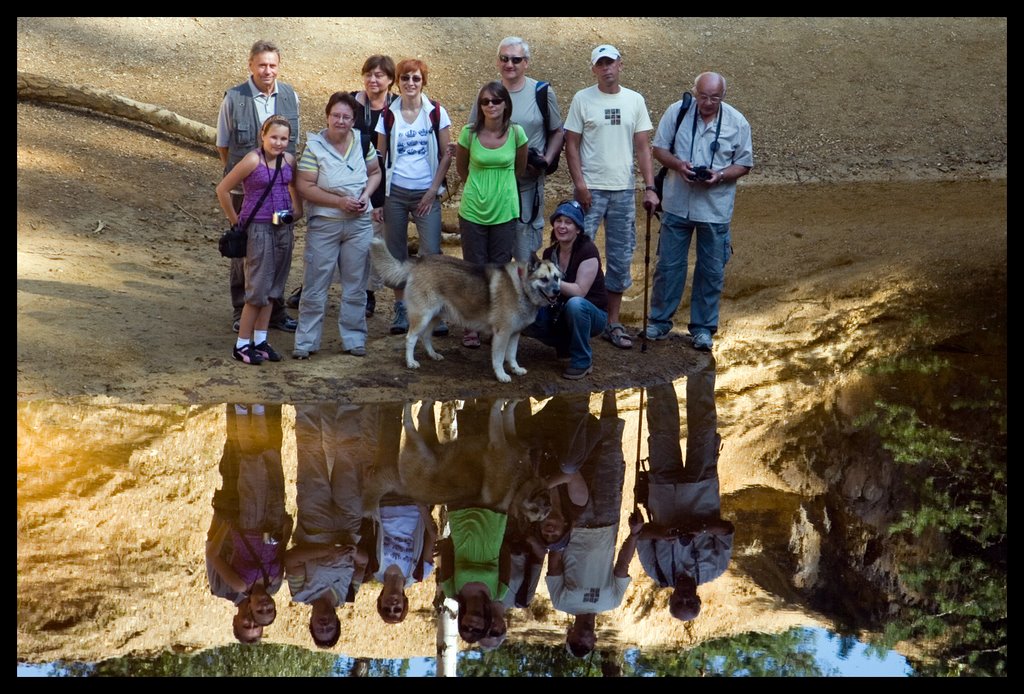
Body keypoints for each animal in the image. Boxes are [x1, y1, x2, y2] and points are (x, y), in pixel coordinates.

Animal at [368, 237, 561, 380]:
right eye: (544, 279)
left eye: (557, 277)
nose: (558, 292)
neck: (521, 286)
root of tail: (419, 262)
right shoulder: (502, 334)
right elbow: (499, 358)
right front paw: (501, 375)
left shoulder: (514, 334)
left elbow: (512, 355)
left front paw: (515, 368)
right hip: (422, 316)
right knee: (410, 339)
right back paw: (410, 362)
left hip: (436, 316)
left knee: (426, 336)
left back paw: (433, 355)